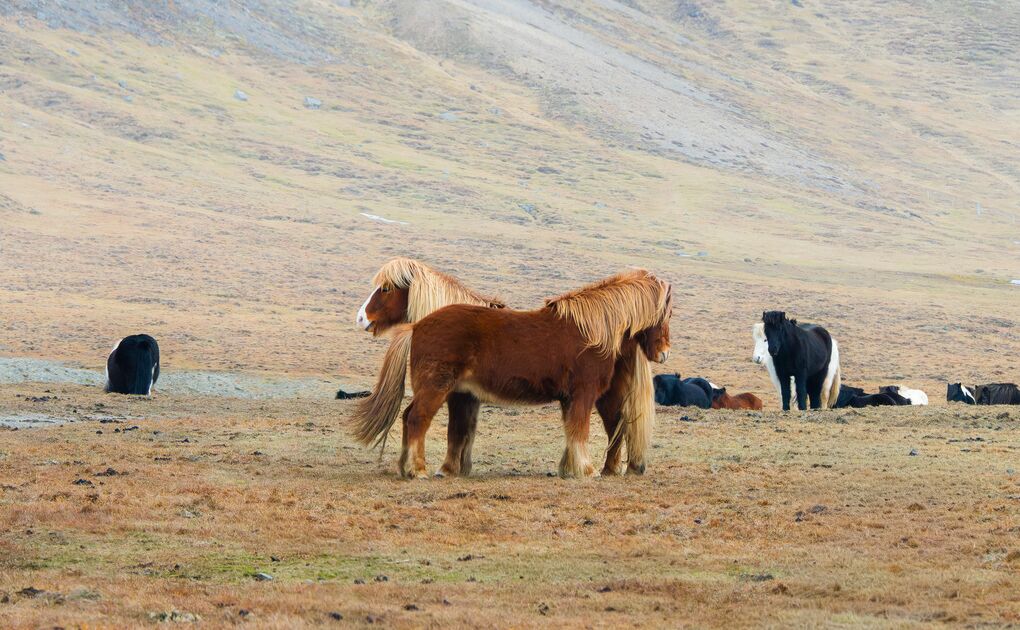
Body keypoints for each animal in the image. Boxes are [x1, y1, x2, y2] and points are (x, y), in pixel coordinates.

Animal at [352, 269, 672, 479]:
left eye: (385, 289)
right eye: (667, 314)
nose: (664, 352)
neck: (594, 331)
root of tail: (417, 327)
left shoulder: (571, 398)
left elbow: (573, 431)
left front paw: (570, 469)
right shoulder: (582, 394)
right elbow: (578, 430)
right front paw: (585, 470)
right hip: (435, 388)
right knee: (417, 419)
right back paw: (417, 470)